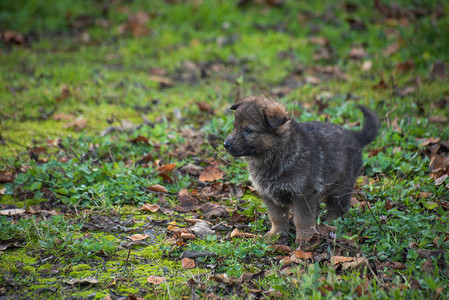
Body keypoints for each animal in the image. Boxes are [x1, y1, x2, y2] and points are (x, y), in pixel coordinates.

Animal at [224, 95, 378, 245]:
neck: (274, 154)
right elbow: (277, 217)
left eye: (248, 130)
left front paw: (305, 239)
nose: (226, 144)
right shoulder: (269, 194)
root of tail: (353, 135)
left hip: (341, 189)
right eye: (234, 126)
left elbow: (302, 219)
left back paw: (329, 227)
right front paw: (276, 234)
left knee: (337, 210)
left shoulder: (303, 194)